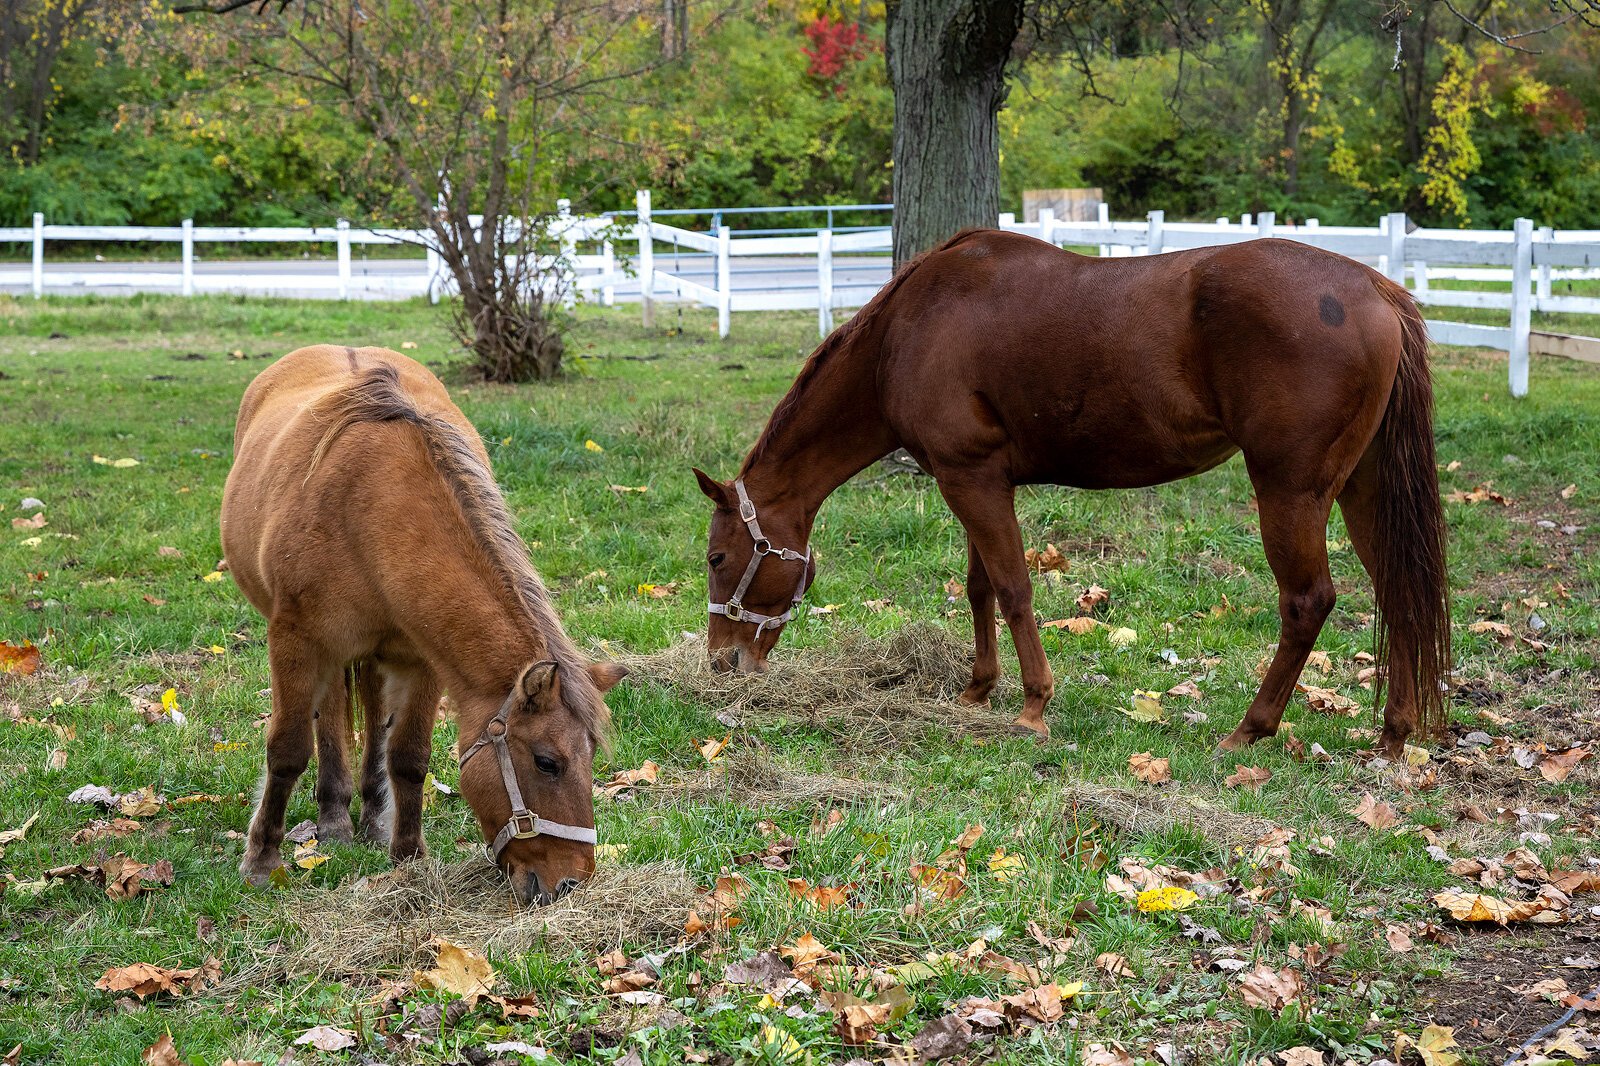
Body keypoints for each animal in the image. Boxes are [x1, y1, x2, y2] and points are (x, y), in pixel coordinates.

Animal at [222, 344, 620, 902]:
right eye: (548, 762)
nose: (570, 882)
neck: (371, 512)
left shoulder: (422, 659)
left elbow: (408, 758)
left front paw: (407, 857)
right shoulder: (295, 641)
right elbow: (288, 750)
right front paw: (262, 859)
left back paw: (369, 816)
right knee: (330, 715)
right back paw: (335, 817)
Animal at [697, 230, 1452, 755]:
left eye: (716, 558)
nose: (721, 663)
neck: (909, 331)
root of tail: (1379, 291)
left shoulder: (971, 478)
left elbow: (1012, 588)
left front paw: (1033, 704)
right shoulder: (974, 480)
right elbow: (980, 587)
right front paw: (977, 690)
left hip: (1290, 491)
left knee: (1308, 603)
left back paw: (1251, 728)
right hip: (1363, 487)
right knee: (1397, 591)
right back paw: (1393, 734)